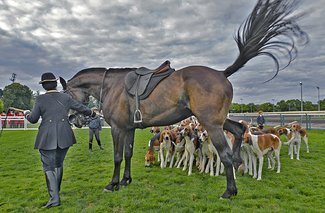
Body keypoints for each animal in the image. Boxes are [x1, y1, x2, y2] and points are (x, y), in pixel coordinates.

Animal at [60, 0, 306, 200]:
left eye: (66, 94)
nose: (73, 119)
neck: (113, 85)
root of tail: (221, 73)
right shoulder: (129, 128)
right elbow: (128, 154)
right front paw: (125, 181)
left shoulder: (118, 128)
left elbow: (118, 156)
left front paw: (112, 184)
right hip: (218, 120)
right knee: (239, 129)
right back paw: (239, 162)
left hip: (210, 123)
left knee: (225, 153)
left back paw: (229, 190)